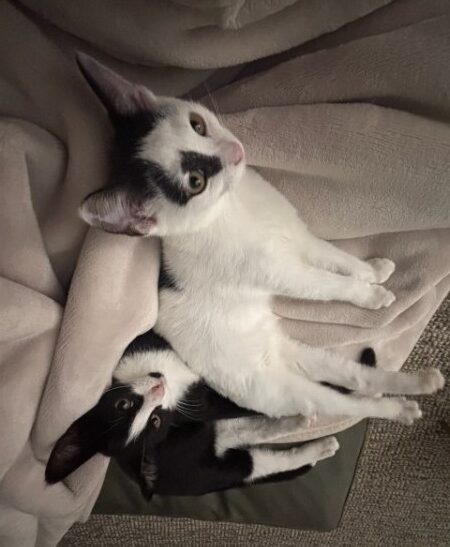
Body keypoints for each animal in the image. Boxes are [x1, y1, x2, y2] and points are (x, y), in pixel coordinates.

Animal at [45, 332, 375, 496]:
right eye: (155, 420)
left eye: (123, 405)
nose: (158, 389)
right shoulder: (212, 400)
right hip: (217, 467)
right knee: (263, 460)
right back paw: (321, 444)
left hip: (206, 434)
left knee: (248, 430)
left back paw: (298, 421)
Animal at [76, 53, 444, 425]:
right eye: (196, 182)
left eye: (198, 125)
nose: (234, 152)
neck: (234, 207)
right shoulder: (281, 272)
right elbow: (327, 284)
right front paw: (371, 295)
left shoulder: (298, 236)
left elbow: (335, 257)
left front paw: (372, 271)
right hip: (284, 390)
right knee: (347, 403)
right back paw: (398, 409)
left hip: (299, 353)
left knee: (356, 377)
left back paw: (421, 382)